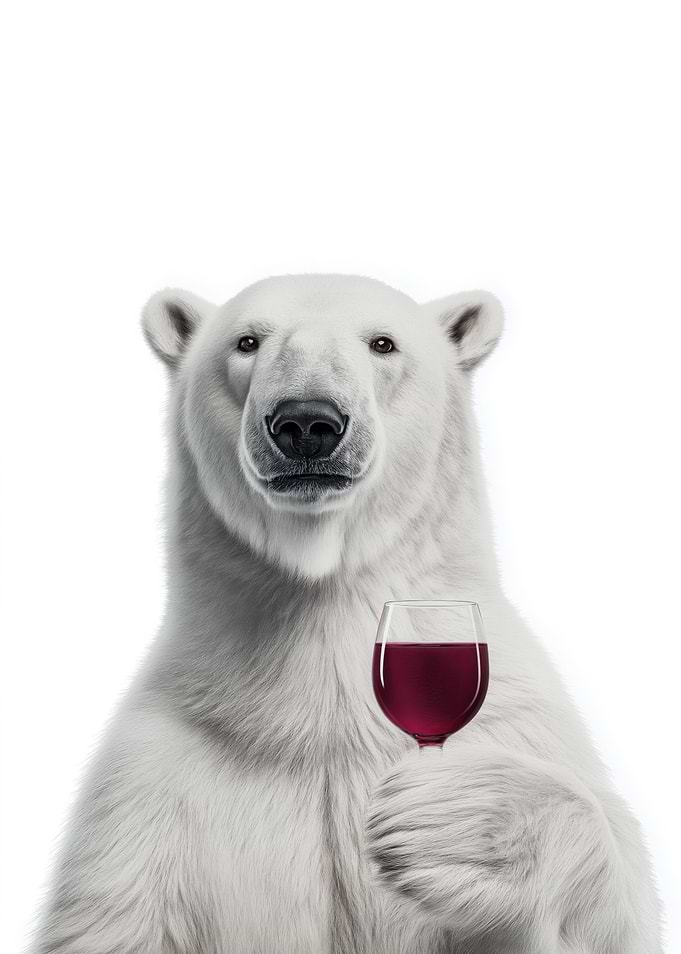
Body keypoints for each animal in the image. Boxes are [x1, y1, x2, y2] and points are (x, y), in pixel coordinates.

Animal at [28, 274, 662, 953]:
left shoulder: (518, 723)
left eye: (382, 342)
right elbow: (109, 922)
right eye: (247, 341)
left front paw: (459, 824)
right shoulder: (150, 791)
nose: (307, 421)